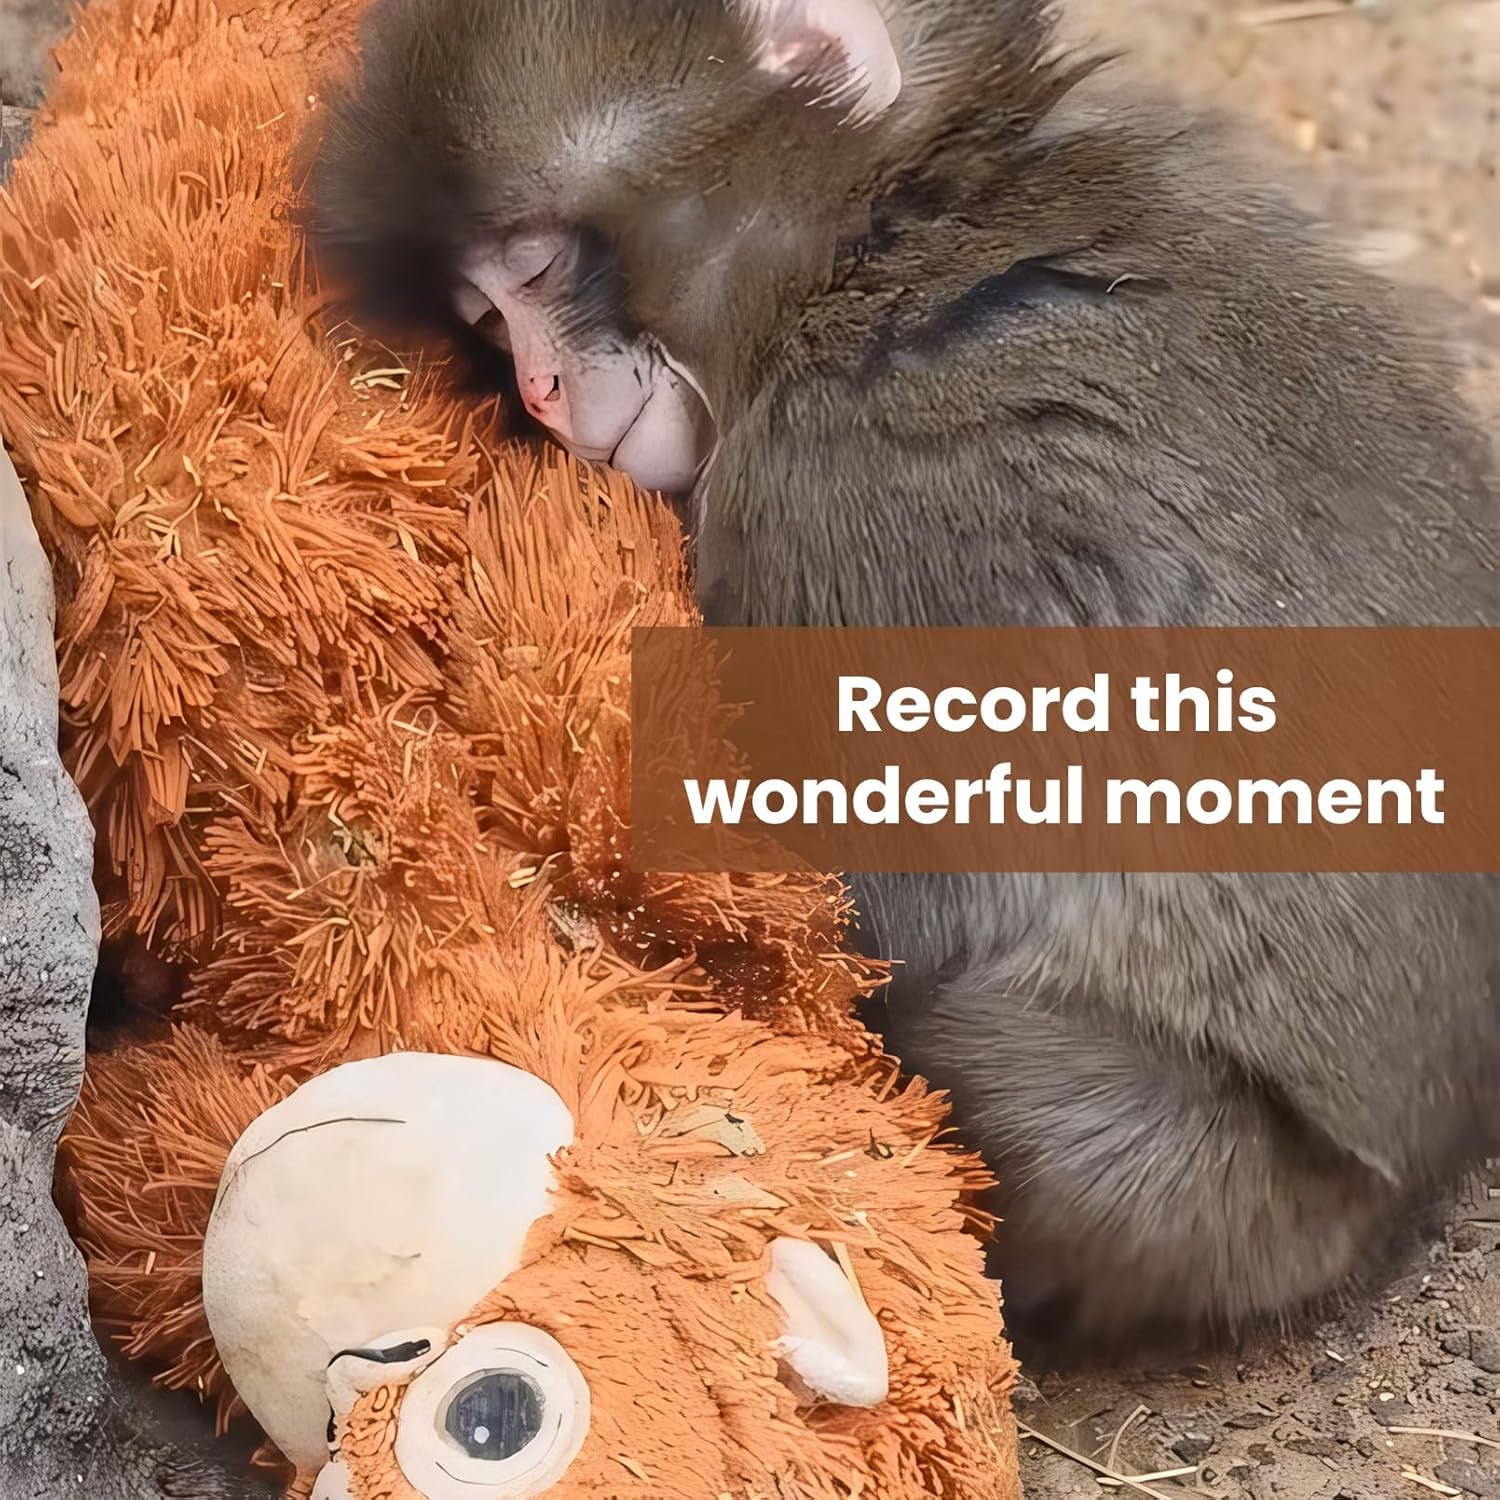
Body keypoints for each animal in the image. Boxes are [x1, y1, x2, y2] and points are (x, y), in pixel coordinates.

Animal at [309, 0, 1500, 1355]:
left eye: (541, 267)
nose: (542, 390)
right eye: (484, 316)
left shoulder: (837, 495)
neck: (882, 245)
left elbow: (902, 895)